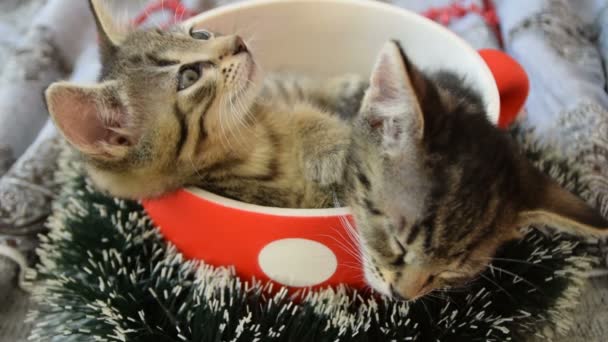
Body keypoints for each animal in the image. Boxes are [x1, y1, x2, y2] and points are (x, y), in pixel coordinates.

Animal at [46, 0, 366, 208]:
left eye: (198, 33)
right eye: (189, 76)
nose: (238, 42)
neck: (253, 135)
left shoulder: (274, 96)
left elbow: (302, 107)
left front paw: (331, 139)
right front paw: (336, 148)